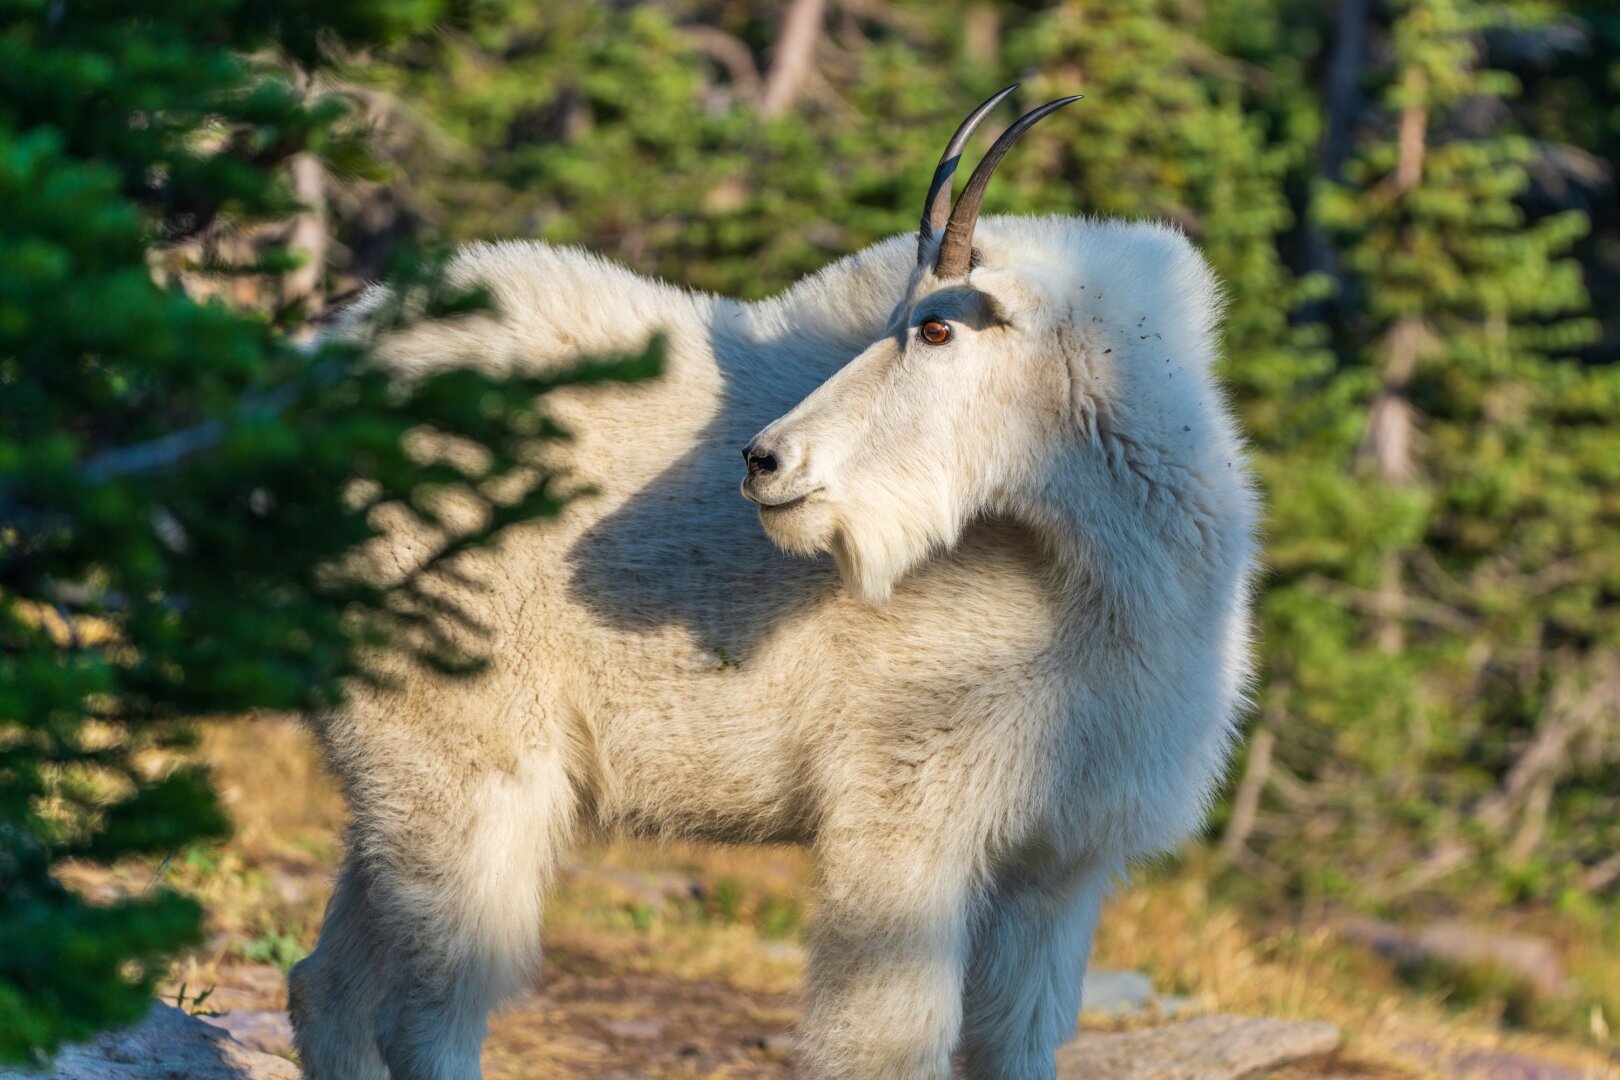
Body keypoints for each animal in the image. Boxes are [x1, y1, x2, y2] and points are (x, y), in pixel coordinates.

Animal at [288, 86, 1258, 1080]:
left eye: (938, 326)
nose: (764, 460)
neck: (1099, 579)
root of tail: (309, 382)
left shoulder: (1058, 858)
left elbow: (1016, 1040)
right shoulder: (906, 807)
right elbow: (889, 1040)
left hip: (400, 758)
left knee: (331, 981)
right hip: (468, 738)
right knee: (431, 1002)